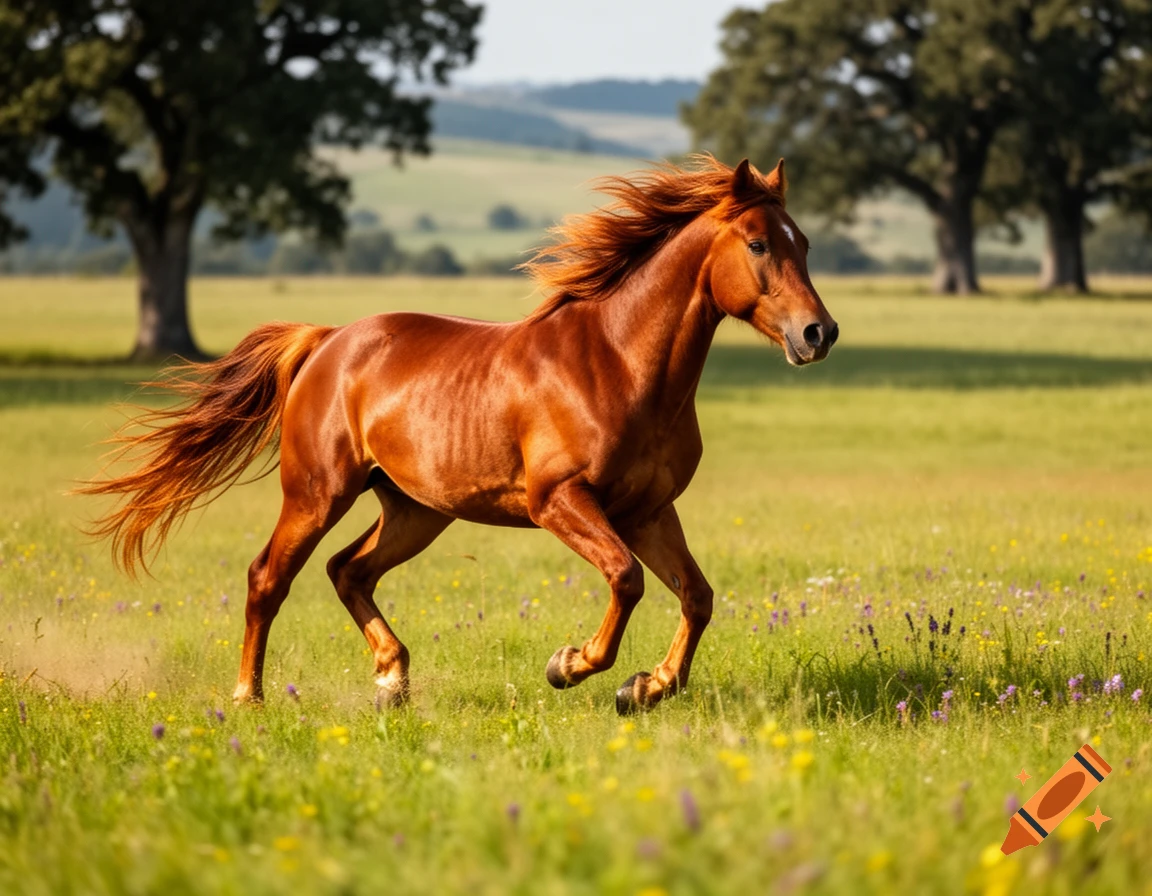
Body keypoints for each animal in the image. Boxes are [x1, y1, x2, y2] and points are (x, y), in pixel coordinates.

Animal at [81, 155, 838, 715]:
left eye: (805, 243)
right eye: (759, 243)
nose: (818, 333)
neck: (620, 363)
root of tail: (327, 341)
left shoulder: (648, 510)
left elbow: (696, 596)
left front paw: (644, 688)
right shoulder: (560, 501)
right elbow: (626, 580)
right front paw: (570, 665)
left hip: (416, 510)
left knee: (347, 569)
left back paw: (392, 682)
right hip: (317, 493)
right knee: (269, 576)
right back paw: (249, 698)